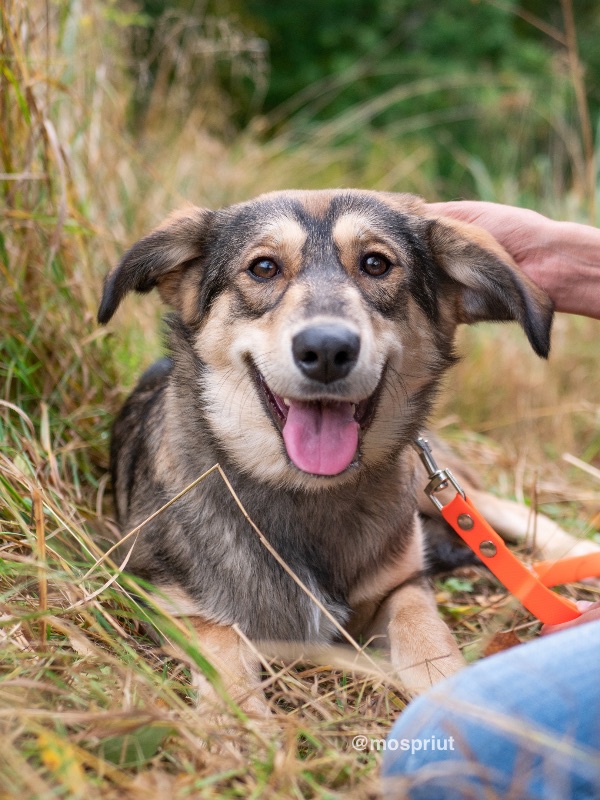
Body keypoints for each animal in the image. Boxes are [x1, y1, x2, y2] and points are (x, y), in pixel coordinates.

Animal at [96, 189, 592, 712]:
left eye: (376, 263)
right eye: (264, 268)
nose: (327, 350)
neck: (308, 492)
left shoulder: (403, 586)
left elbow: (426, 636)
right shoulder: (170, 601)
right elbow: (225, 656)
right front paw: (244, 723)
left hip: (431, 484)